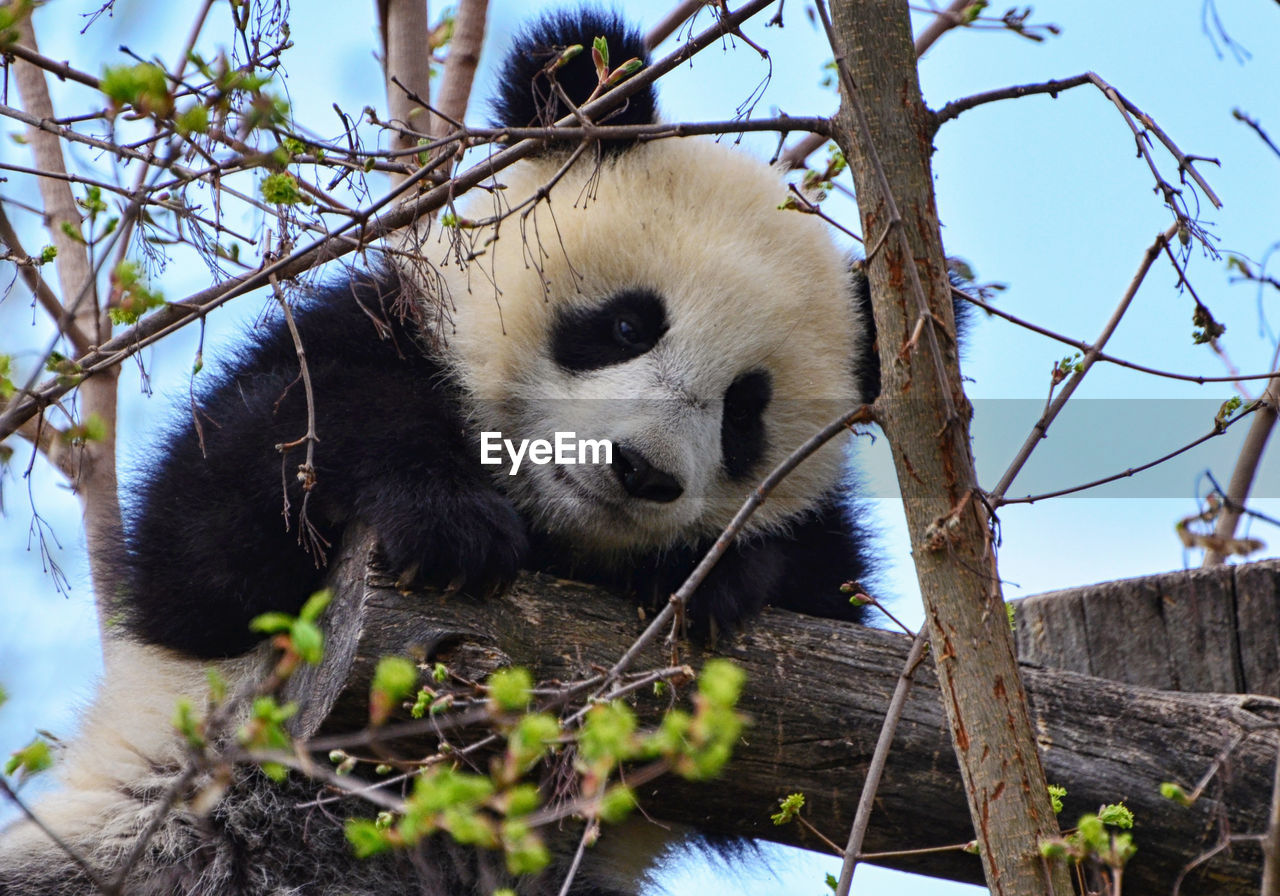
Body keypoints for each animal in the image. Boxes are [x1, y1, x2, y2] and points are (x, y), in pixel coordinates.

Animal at [0, 8, 885, 896]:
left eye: (745, 413)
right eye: (628, 324)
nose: (642, 471)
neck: (559, 529)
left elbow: (829, 592)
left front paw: (710, 578)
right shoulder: (381, 327)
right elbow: (220, 526)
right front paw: (450, 524)